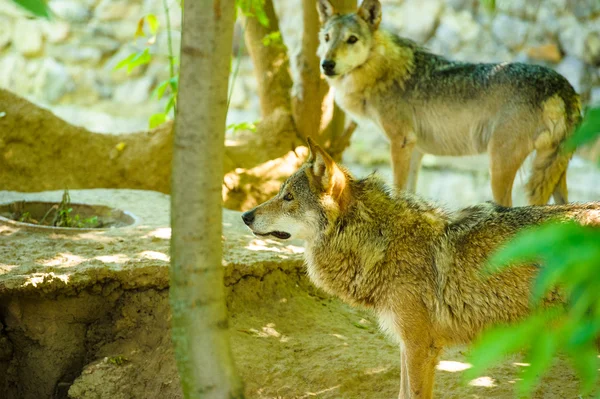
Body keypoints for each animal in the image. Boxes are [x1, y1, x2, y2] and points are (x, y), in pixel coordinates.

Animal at [240, 138, 600, 399]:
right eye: (279, 193)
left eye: (288, 197)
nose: (245, 215)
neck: (381, 241)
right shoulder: (406, 344)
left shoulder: (420, 347)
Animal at [316, 0, 580, 208]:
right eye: (327, 38)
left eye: (351, 40)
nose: (326, 64)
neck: (380, 71)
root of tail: (563, 87)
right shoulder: (416, 151)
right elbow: (409, 193)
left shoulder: (400, 143)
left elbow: (398, 191)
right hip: (554, 173)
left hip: (499, 166)